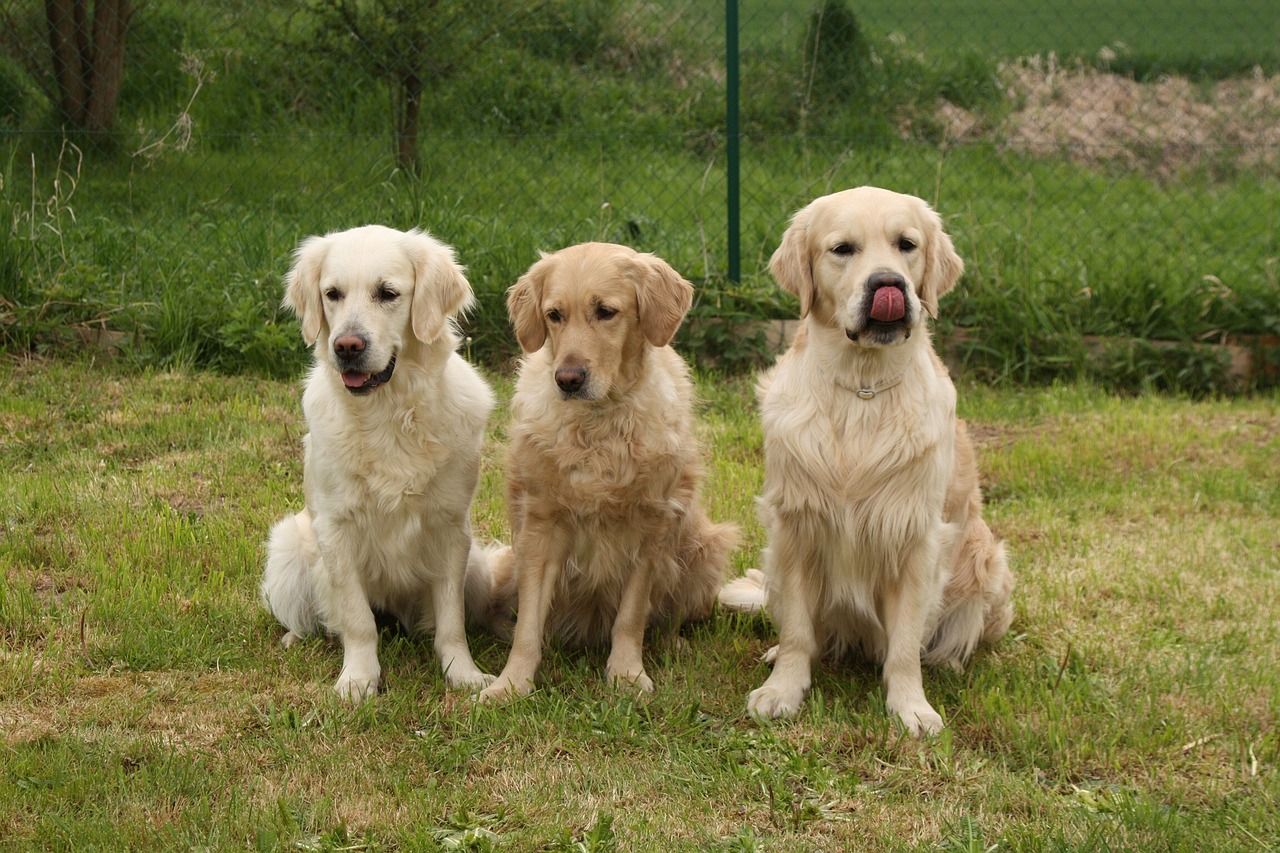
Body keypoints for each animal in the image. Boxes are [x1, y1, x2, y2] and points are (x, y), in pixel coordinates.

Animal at [258, 224, 499, 696]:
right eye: (332, 293)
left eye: (387, 293)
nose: (346, 346)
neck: (388, 413)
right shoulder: (335, 528)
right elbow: (357, 620)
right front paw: (358, 680)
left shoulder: (450, 528)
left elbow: (451, 622)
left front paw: (463, 674)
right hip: (288, 551)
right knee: (317, 618)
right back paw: (295, 637)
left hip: (478, 568)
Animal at [478, 242, 742, 701]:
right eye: (554, 314)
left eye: (606, 312)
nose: (567, 378)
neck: (599, 424)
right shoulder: (541, 527)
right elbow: (528, 625)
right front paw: (511, 683)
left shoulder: (651, 527)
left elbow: (631, 617)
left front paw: (627, 674)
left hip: (705, 548)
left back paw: (673, 643)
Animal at [721, 189, 1008, 732]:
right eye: (843, 249)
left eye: (906, 245)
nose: (888, 284)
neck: (862, 388)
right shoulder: (796, 526)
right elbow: (798, 632)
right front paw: (783, 689)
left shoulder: (916, 537)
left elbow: (905, 645)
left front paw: (911, 707)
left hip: (990, 561)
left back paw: (949, 662)